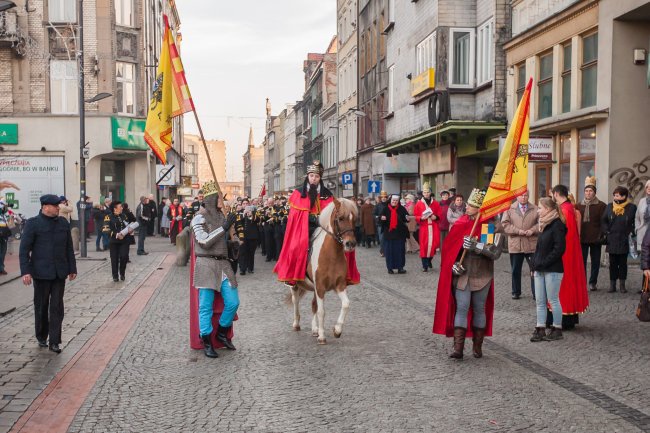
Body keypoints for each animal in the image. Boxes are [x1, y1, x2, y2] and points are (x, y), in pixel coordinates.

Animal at [290, 197, 356, 344]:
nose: (350, 244)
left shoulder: (339, 286)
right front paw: (322, 336)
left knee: (313, 304)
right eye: (340, 218)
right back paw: (296, 324)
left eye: (354, 219)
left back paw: (314, 329)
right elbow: (322, 311)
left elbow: (346, 304)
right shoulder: (320, 287)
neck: (331, 255)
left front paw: (337, 330)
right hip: (294, 284)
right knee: (295, 301)